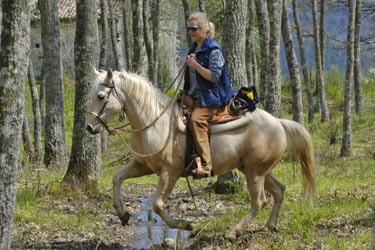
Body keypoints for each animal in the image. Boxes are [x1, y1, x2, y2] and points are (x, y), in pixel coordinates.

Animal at [85, 68, 318, 238]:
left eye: (101, 96)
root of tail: (278, 122)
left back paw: (233, 232)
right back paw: (270, 226)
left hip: (255, 172)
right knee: (279, 191)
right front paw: (123, 214)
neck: (155, 121)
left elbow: (158, 205)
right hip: (256, 169)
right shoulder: (143, 165)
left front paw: (186, 225)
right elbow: (117, 178)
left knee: (259, 201)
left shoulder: (170, 172)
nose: (88, 127)